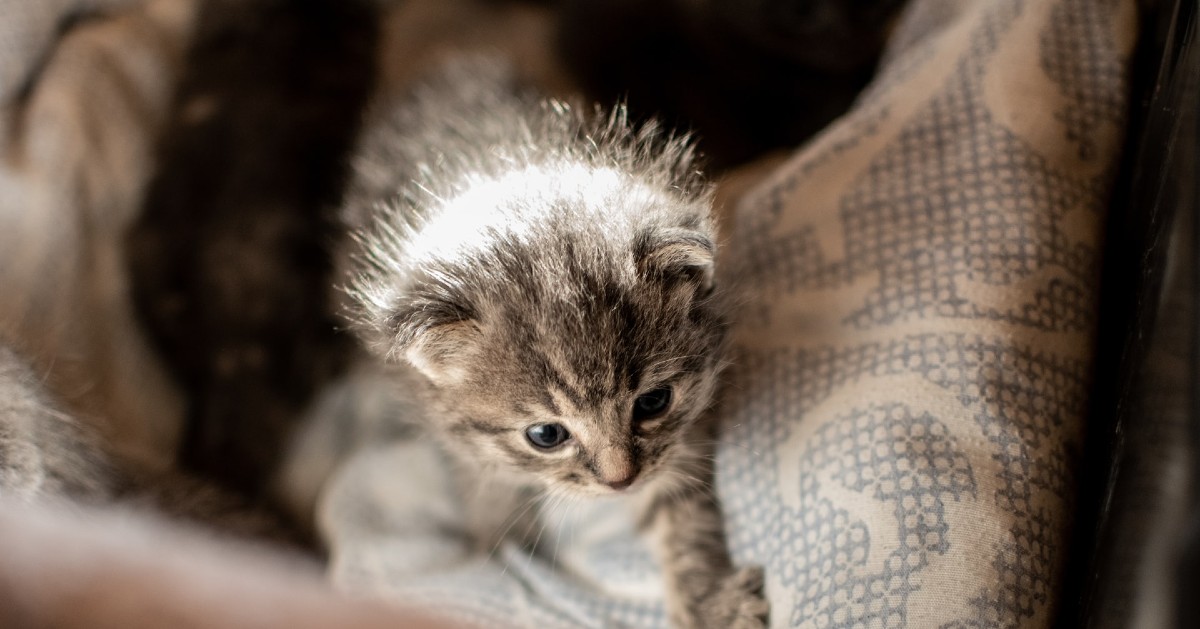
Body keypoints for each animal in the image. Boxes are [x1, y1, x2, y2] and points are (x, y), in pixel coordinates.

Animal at [340, 56, 768, 624]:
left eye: (654, 402)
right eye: (546, 435)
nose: (620, 482)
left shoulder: (683, 432)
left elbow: (682, 505)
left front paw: (709, 601)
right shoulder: (453, 432)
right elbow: (488, 492)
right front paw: (502, 549)